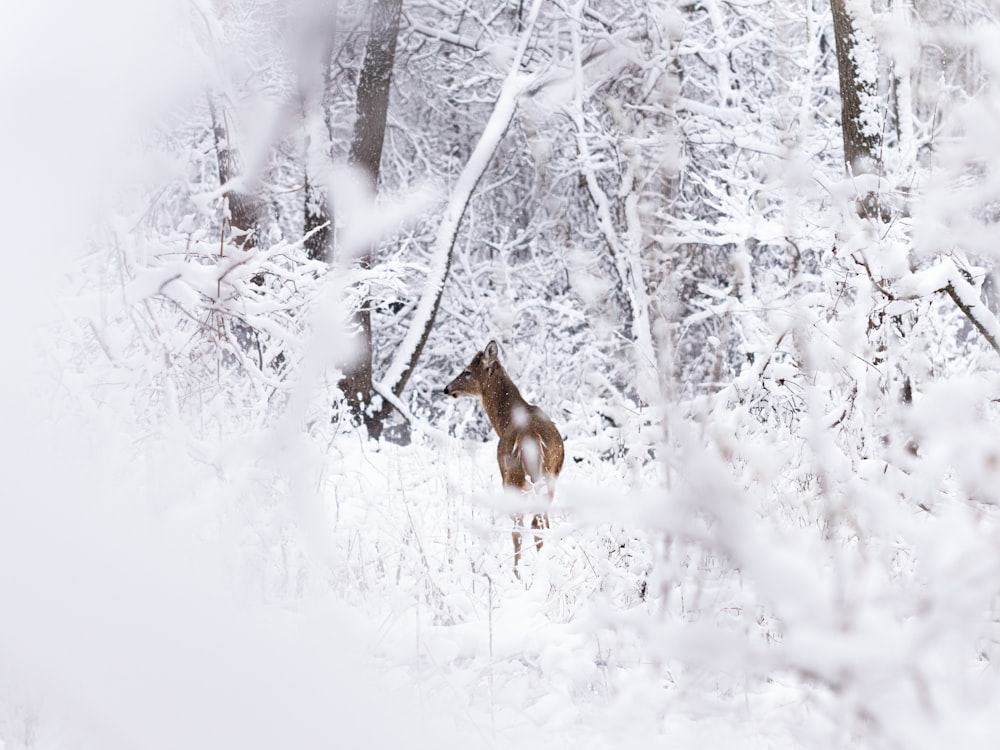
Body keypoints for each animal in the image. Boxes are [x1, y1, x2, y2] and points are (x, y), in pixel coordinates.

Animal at [444, 344, 564, 580]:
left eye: (467, 371)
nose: (447, 388)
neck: (505, 419)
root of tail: (530, 436)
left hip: (513, 476)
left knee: (522, 526)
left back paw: (517, 573)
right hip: (547, 476)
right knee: (540, 522)